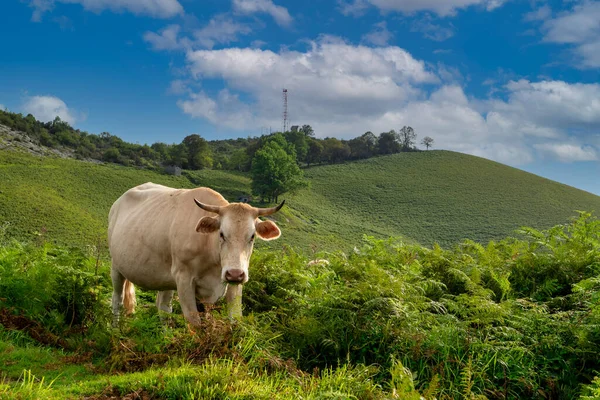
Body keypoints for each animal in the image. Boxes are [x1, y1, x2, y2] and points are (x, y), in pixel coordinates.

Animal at [107, 183, 284, 326]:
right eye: (221, 234)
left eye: (252, 236)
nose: (234, 274)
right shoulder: (184, 279)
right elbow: (195, 323)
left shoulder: (234, 284)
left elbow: (234, 319)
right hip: (116, 267)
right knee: (117, 300)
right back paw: (115, 330)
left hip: (165, 278)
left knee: (163, 307)